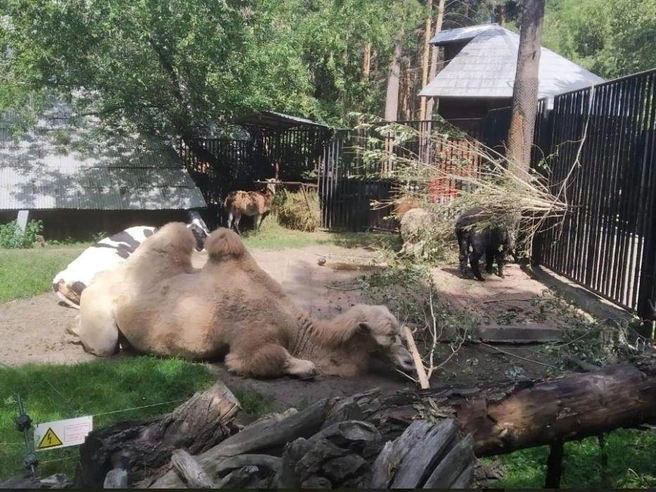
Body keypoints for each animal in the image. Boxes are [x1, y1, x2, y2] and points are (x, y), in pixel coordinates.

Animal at [74, 224, 416, 379]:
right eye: (389, 336)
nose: (412, 361)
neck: (294, 327)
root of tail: (95, 281)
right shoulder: (248, 345)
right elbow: (283, 361)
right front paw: (303, 366)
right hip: (102, 323)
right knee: (103, 344)